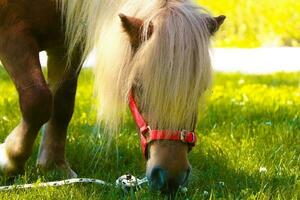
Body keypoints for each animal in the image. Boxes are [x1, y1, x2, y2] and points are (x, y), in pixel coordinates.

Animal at [0, 0, 225, 194]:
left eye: (201, 89)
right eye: (138, 86)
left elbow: (63, 104)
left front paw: (54, 166)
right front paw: (10, 159)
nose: (170, 178)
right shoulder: (12, 33)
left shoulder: (68, 44)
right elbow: (37, 100)